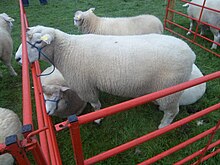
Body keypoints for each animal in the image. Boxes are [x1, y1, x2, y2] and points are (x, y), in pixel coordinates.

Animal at [14, 25, 195, 129]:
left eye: (38, 42)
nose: (17, 58)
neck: (67, 51)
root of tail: (191, 53)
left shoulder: (85, 86)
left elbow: (95, 105)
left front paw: (97, 119)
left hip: (172, 89)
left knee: (172, 111)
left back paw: (163, 126)